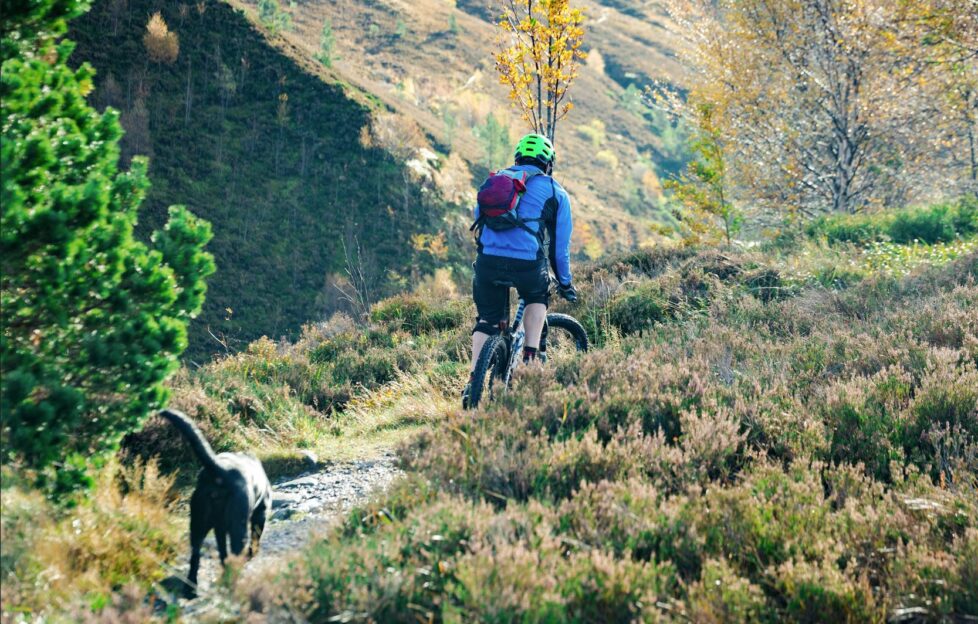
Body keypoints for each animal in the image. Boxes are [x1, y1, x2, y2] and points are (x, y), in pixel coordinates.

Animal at [160, 410, 272, 596]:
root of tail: (221, 471)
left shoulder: (219, 528)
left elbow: (222, 550)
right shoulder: (260, 512)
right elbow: (255, 538)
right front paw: (252, 554)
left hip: (198, 523)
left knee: (195, 555)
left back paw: (191, 589)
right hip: (237, 525)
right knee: (236, 549)